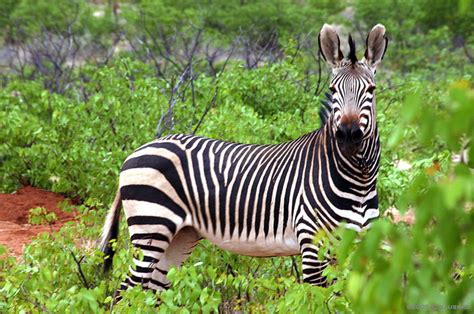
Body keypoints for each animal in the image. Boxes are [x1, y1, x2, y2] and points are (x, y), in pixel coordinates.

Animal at [97, 23, 388, 298]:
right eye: (333, 89)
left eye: (371, 90)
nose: (348, 135)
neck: (358, 179)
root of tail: (134, 152)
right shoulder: (312, 244)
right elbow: (319, 300)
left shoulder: (359, 244)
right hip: (152, 227)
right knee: (124, 293)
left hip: (179, 236)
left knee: (152, 292)